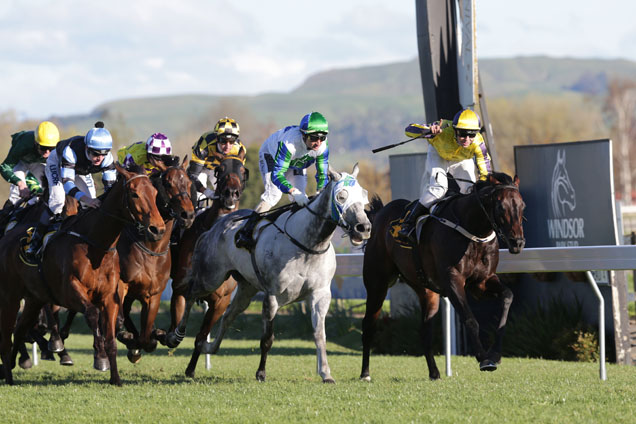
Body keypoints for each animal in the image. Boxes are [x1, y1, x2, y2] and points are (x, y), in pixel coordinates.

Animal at [0, 164, 164, 386]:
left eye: (155, 193)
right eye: (134, 194)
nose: (157, 229)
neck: (96, 245)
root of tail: (6, 239)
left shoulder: (110, 297)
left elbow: (111, 338)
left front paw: (115, 378)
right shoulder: (69, 292)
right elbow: (92, 314)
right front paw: (100, 359)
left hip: (34, 299)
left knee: (18, 330)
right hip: (10, 297)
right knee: (6, 336)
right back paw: (8, 375)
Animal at [114, 156, 194, 362]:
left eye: (189, 183)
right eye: (168, 183)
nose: (188, 215)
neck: (150, 249)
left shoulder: (154, 294)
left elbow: (147, 336)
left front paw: (157, 335)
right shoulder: (121, 285)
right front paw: (130, 338)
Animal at [166, 164, 372, 382]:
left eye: (364, 195)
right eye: (341, 196)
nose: (364, 228)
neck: (307, 244)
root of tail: (213, 228)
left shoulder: (320, 294)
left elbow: (319, 335)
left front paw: (325, 373)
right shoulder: (273, 295)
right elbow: (267, 338)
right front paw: (261, 372)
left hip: (246, 289)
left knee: (228, 316)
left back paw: (206, 348)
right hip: (210, 277)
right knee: (190, 295)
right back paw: (176, 336)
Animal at [360, 171, 524, 380]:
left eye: (522, 205)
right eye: (501, 206)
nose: (517, 242)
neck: (472, 230)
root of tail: (380, 213)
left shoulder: (482, 282)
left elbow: (508, 297)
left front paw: (495, 354)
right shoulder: (452, 280)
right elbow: (470, 319)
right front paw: (484, 358)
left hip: (426, 291)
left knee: (425, 332)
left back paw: (434, 372)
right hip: (377, 284)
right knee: (369, 326)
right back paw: (365, 373)